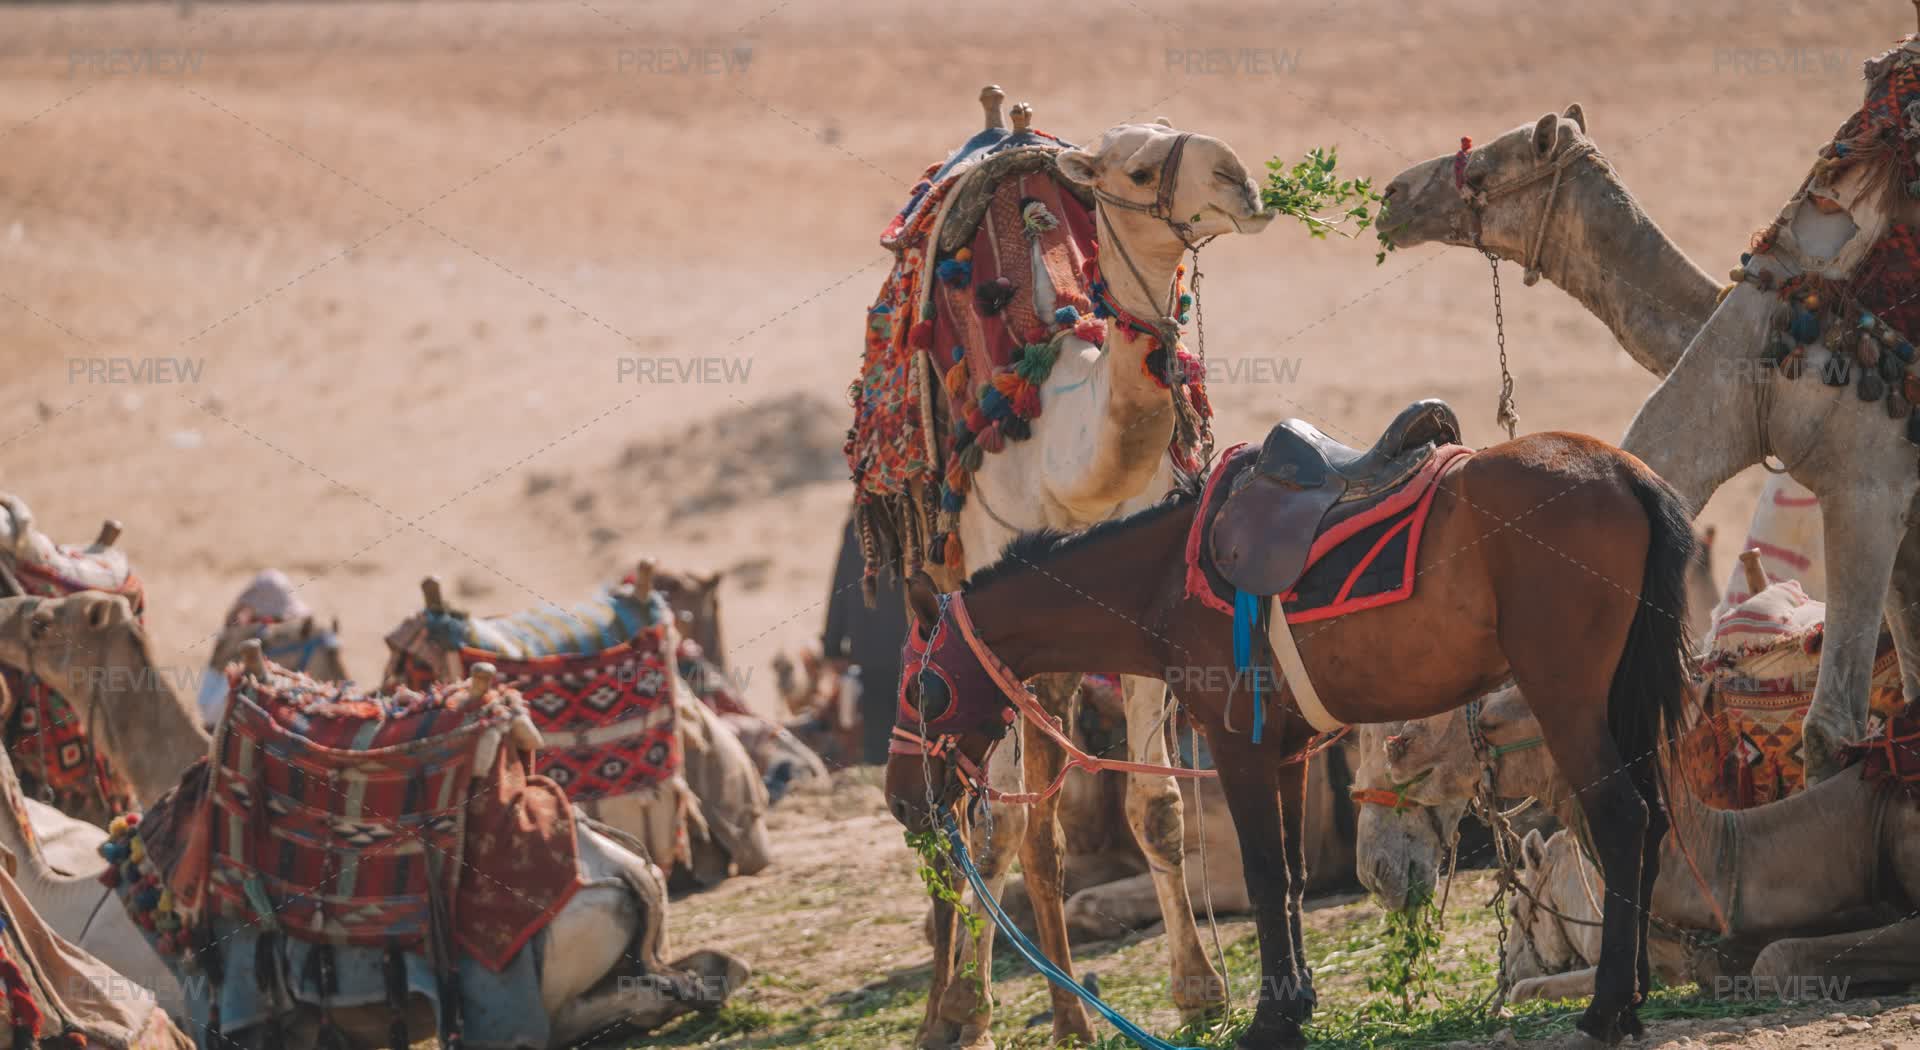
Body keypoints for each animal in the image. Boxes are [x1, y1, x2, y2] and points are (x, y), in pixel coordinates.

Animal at [891, 109, 1275, 1048]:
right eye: (1136, 171)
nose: (1242, 182)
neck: (1073, 460)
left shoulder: (1138, 613)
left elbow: (1158, 810)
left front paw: (1201, 990)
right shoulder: (990, 626)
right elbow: (1009, 830)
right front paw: (1016, 1018)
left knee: (1010, 825)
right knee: (975, 823)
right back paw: (956, 1014)